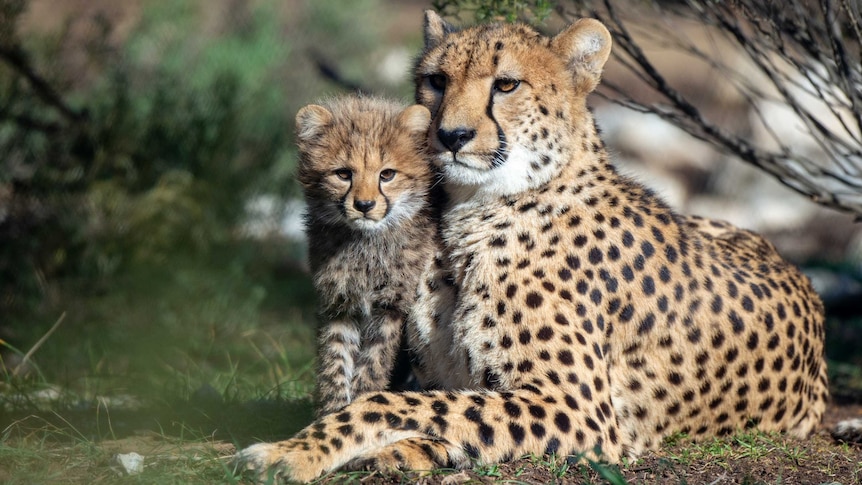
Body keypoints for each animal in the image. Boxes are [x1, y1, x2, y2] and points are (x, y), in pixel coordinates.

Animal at [236, 11, 832, 480]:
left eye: (506, 85)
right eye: (435, 80)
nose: (450, 136)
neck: (475, 210)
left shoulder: (580, 410)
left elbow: (385, 403)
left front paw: (291, 453)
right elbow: (426, 404)